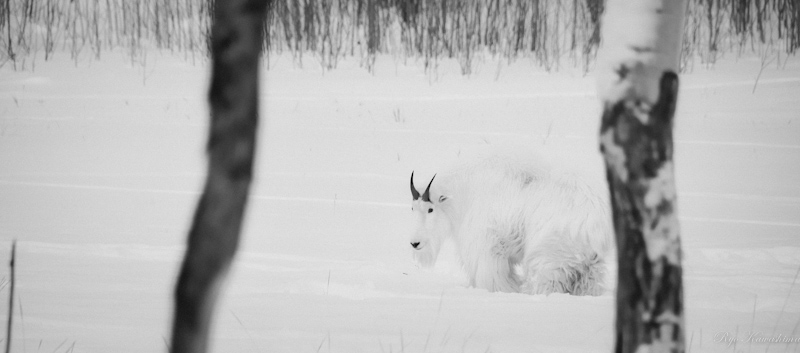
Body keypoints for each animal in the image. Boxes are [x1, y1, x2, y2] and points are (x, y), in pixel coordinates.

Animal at [410, 155, 616, 296]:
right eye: (412, 207)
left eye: (430, 209)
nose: (415, 243)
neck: (464, 196)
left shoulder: (488, 250)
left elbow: (495, 280)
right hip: (591, 268)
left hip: (548, 259)